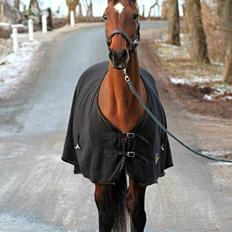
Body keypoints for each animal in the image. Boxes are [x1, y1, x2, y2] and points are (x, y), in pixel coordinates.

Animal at [61, 0, 172, 232]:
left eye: (135, 15)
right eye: (105, 16)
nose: (118, 55)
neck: (122, 106)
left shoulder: (141, 173)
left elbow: (137, 214)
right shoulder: (102, 174)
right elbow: (106, 216)